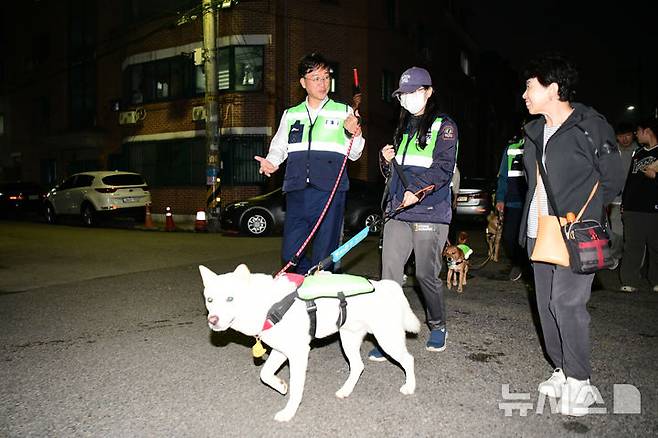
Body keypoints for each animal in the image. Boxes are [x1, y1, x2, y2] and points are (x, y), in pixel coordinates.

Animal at [197, 264, 420, 420]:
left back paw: (410, 387)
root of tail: (388, 286)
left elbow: (296, 389)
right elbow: (265, 374)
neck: (267, 304)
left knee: (409, 360)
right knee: (358, 366)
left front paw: (288, 412)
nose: (212, 320)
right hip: (348, 338)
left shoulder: (298, 354)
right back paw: (345, 391)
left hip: (387, 339)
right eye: (210, 300)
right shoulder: (281, 350)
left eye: (230, 299)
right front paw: (280, 385)